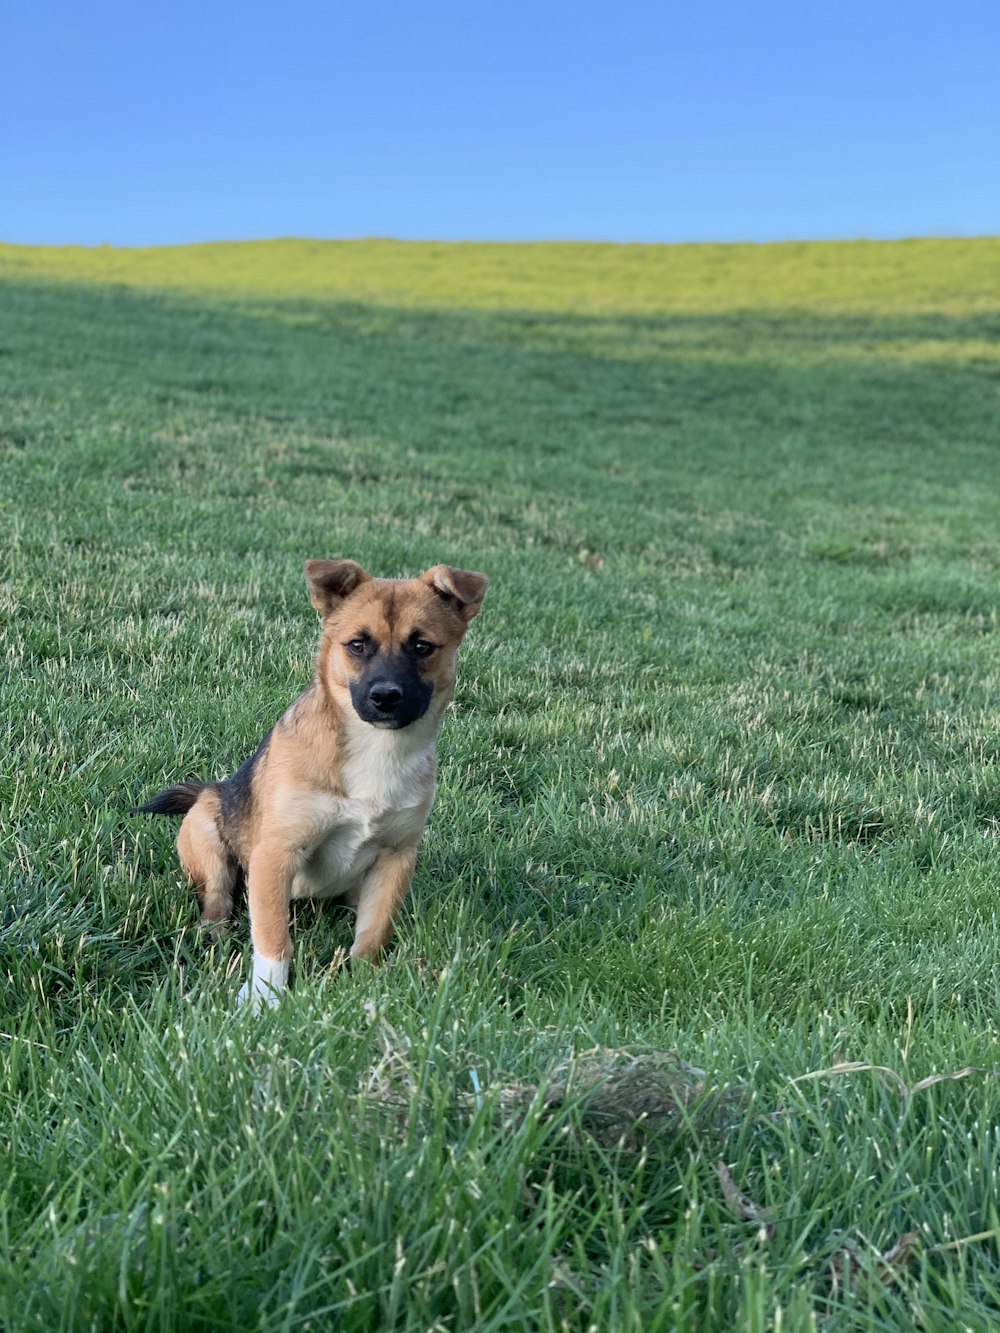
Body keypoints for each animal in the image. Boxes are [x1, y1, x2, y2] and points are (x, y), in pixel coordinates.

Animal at [137, 559, 490, 1007]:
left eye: (422, 647)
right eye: (357, 645)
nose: (385, 697)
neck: (376, 749)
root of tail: (209, 788)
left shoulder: (396, 857)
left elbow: (372, 934)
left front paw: (366, 988)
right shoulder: (276, 853)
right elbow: (273, 938)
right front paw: (263, 998)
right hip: (206, 839)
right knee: (217, 900)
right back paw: (215, 934)